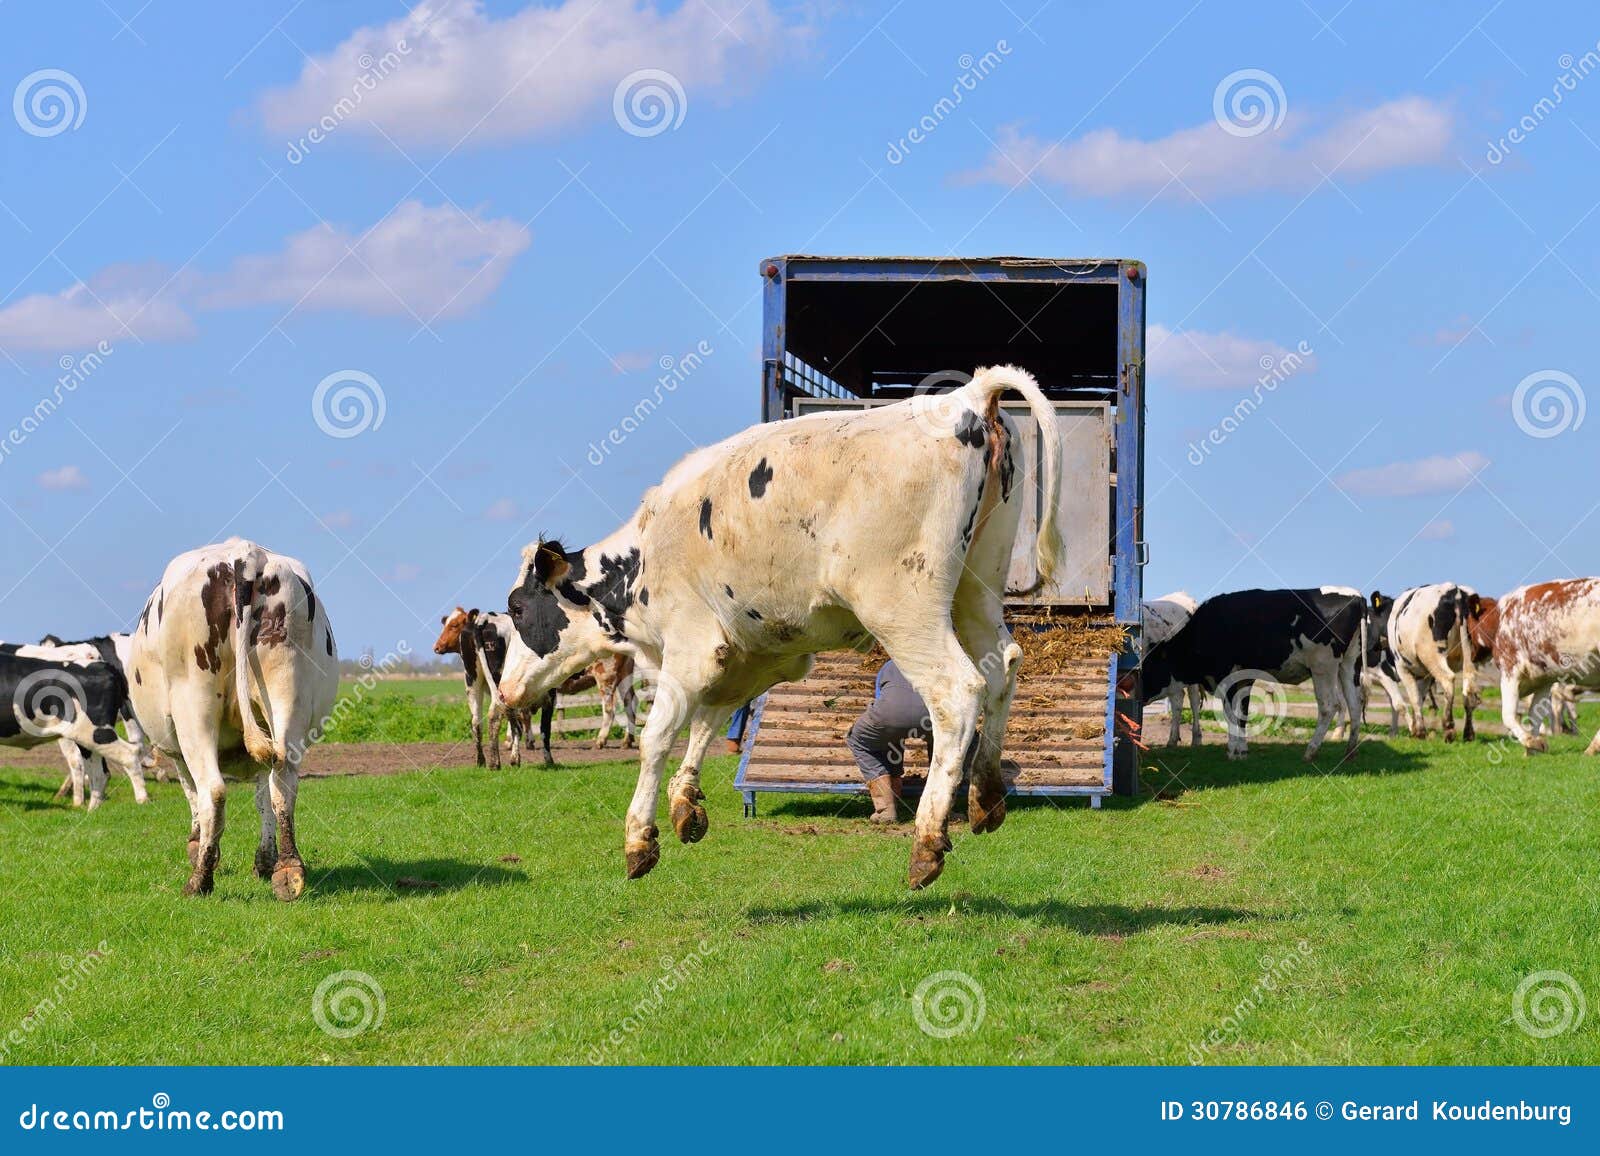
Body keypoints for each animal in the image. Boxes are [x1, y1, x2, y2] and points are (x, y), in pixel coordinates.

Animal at [131, 534, 340, 896]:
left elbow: (192, 794)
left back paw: (199, 881)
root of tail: (244, 555)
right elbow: (263, 798)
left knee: (212, 791)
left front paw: (198, 846)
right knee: (282, 781)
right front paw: (265, 860)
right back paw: (288, 870)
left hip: (194, 704)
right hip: (287, 692)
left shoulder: (175, 750)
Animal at [486, 365, 1062, 890]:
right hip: (977, 590)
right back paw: (985, 794)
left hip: (905, 609)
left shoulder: (691, 647)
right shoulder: (753, 656)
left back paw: (927, 839)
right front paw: (685, 802)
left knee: (957, 690)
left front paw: (639, 837)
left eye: (518, 608)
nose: (506, 691)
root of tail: (967, 396)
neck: (644, 556)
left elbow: (657, 737)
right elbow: (708, 722)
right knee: (1002, 666)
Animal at [1491, 573, 1600, 752]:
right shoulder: (1544, 679)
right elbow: (1535, 715)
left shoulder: (1510, 668)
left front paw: (1531, 742)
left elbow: (1508, 715)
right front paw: (1533, 749)